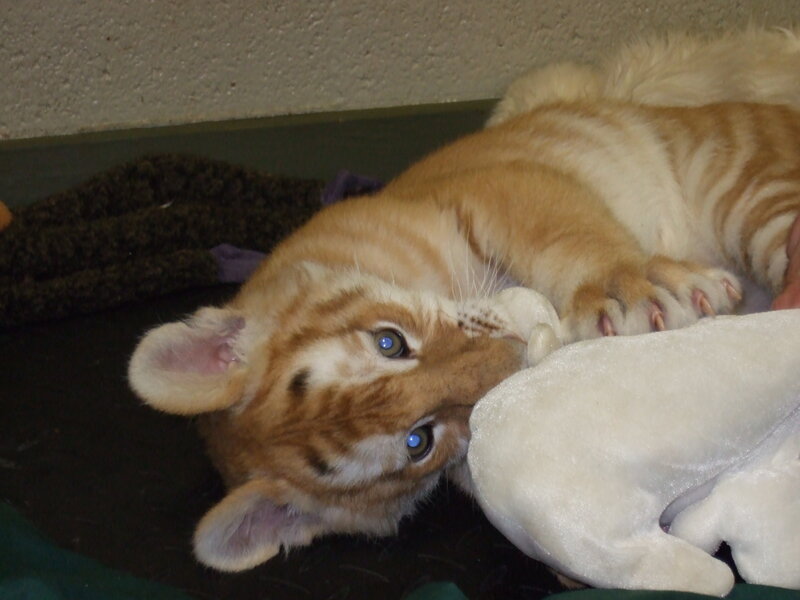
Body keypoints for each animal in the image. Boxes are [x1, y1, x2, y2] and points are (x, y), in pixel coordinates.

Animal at [128, 27, 800, 572]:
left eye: (389, 341)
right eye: (417, 442)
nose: (518, 354)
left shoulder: (497, 188)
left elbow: (567, 236)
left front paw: (635, 286)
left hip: (749, 193)